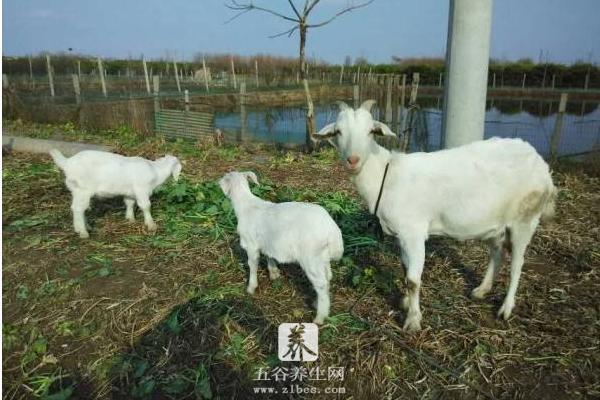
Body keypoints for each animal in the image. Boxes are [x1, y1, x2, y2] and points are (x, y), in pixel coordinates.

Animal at [49, 149, 182, 238]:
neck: (156, 171)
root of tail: (67, 163)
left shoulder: (130, 192)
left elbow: (129, 203)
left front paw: (130, 219)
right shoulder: (141, 189)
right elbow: (146, 206)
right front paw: (151, 225)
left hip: (76, 190)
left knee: (79, 208)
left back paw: (85, 227)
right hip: (82, 189)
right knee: (78, 208)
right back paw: (83, 232)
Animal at [219, 170, 342, 324]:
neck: (246, 206)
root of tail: (332, 231)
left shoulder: (252, 245)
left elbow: (252, 266)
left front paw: (251, 288)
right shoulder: (268, 242)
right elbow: (269, 256)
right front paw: (274, 274)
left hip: (311, 257)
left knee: (321, 283)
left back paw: (320, 317)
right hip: (322, 257)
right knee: (328, 277)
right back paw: (316, 303)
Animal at [316, 100, 556, 332]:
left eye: (370, 131)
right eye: (338, 131)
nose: (353, 160)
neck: (386, 175)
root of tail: (541, 163)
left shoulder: (414, 232)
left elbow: (413, 280)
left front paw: (413, 321)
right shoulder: (402, 235)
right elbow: (405, 269)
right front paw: (406, 302)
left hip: (525, 219)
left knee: (517, 264)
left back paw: (506, 308)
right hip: (495, 222)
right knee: (497, 253)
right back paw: (481, 290)